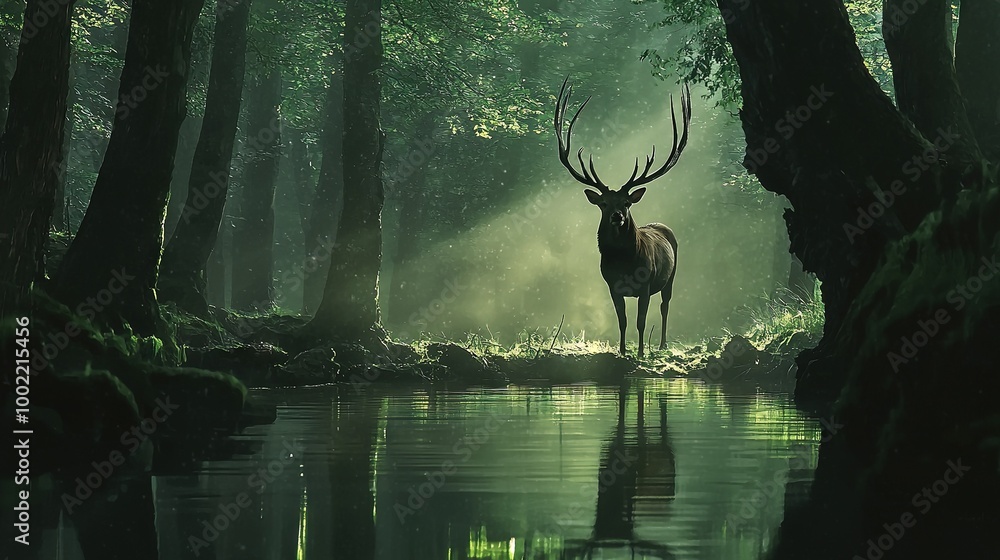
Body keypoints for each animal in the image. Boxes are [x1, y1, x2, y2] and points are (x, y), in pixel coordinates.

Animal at [552, 77, 692, 358]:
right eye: (603, 204)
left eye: (626, 202)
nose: (617, 216)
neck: (625, 264)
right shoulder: (611, 285)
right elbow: (623, 320)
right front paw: (623, 351)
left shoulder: (646, 284)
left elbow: (641, 321)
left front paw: (640, 353)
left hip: (671, 275)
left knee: (665, 306)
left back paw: (662, 345)